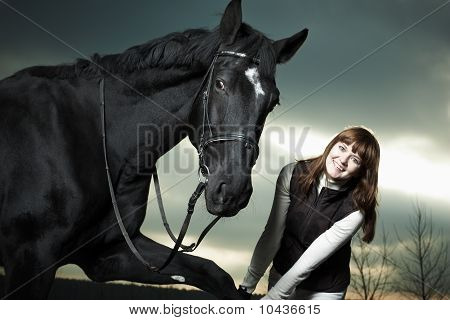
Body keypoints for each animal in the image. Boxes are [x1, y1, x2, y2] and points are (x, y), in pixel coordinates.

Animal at [0, 0, 306, 300]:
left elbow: (216, 275)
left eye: (273, 102)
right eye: (220, 84)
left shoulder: (109, 254)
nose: (232, 191)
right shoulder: (33, 257)